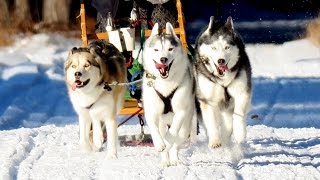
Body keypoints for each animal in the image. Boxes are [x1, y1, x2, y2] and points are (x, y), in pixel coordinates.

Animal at [142, 22, 195, 167]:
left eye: (170, 49)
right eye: (156, 50)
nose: (163, 59)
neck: (165, 83)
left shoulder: (181, 111)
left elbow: (173, 132)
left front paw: (167, 141)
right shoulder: (151, 111)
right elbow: (154, 129)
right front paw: (160, 144)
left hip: (186, 126)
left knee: (177, 141)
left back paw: (173, 158)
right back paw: (165, 160)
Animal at [194, 16, 251, 149]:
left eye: (227, 47)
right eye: (214, 48)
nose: (221, 61)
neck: (222, 80)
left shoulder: (242, 93)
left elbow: (238, 115)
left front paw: (239, 134)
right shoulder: (208, 100)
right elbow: (212, 122)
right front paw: (215, 141)